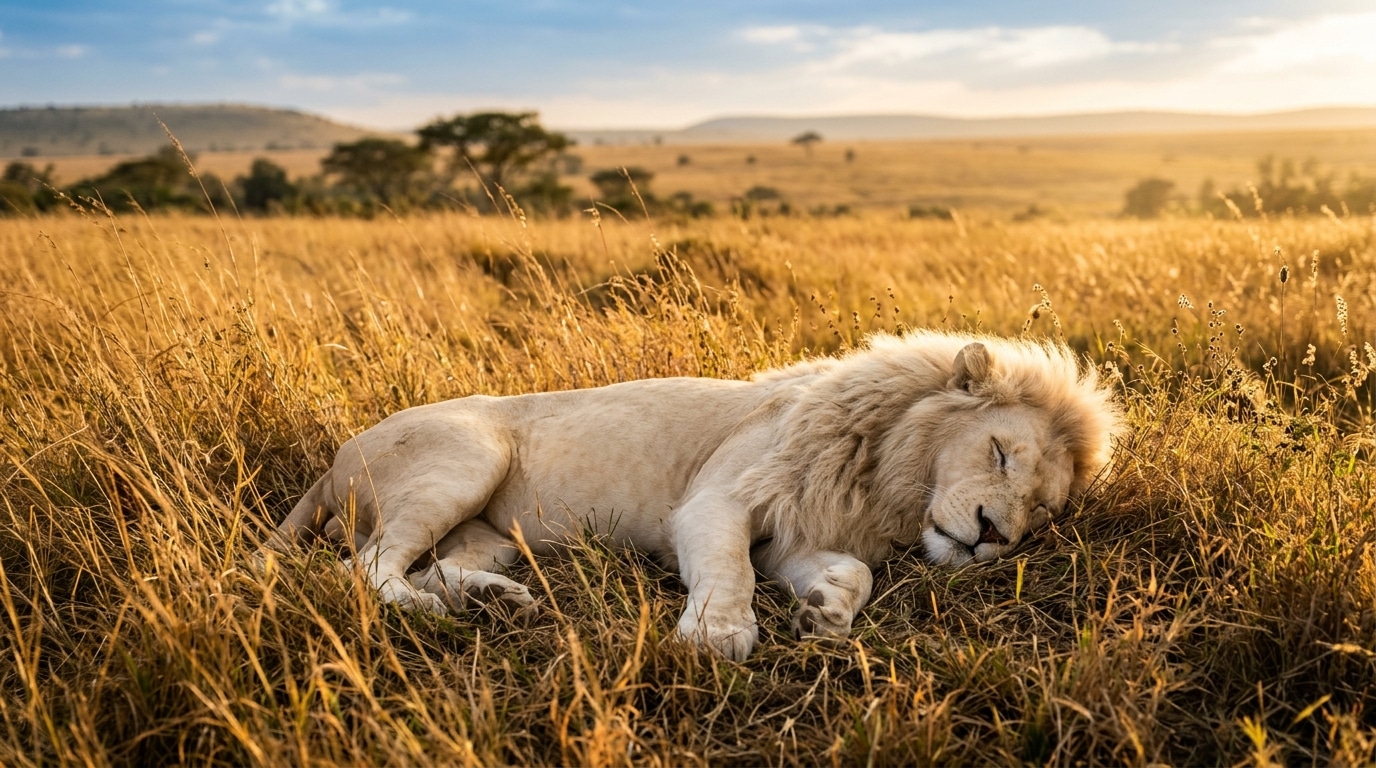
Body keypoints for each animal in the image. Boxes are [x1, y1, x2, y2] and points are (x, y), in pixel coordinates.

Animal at [269, 330, 1120, 660]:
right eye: (1000, 452)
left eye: (1042, 513)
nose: (991, 535)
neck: (884, 478)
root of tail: (334, 458)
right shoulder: (720, 501)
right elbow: (726, 568)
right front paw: (718, 635)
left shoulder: (797, 539)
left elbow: (851, 572)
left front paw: (825, 615)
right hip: (467, 456)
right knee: (365, 570)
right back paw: (431, 613)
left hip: (491, 532)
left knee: (438, 565)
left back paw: (493, 604)